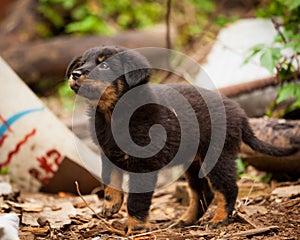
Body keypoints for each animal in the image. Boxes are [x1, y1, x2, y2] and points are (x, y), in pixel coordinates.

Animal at [66, 45, 298, 234]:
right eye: (82, 62)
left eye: (104, 66)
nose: (75, 74)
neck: (112, 114)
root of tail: (240, 113)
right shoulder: (108, 152)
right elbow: (110, 181)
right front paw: (110, 205)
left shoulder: (144, 165)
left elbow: (136, 201)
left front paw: (137, 228)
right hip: (194, 162)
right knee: (203, 193)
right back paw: (186, 220)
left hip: (218, 156)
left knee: (227, 188)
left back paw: (219, 219)